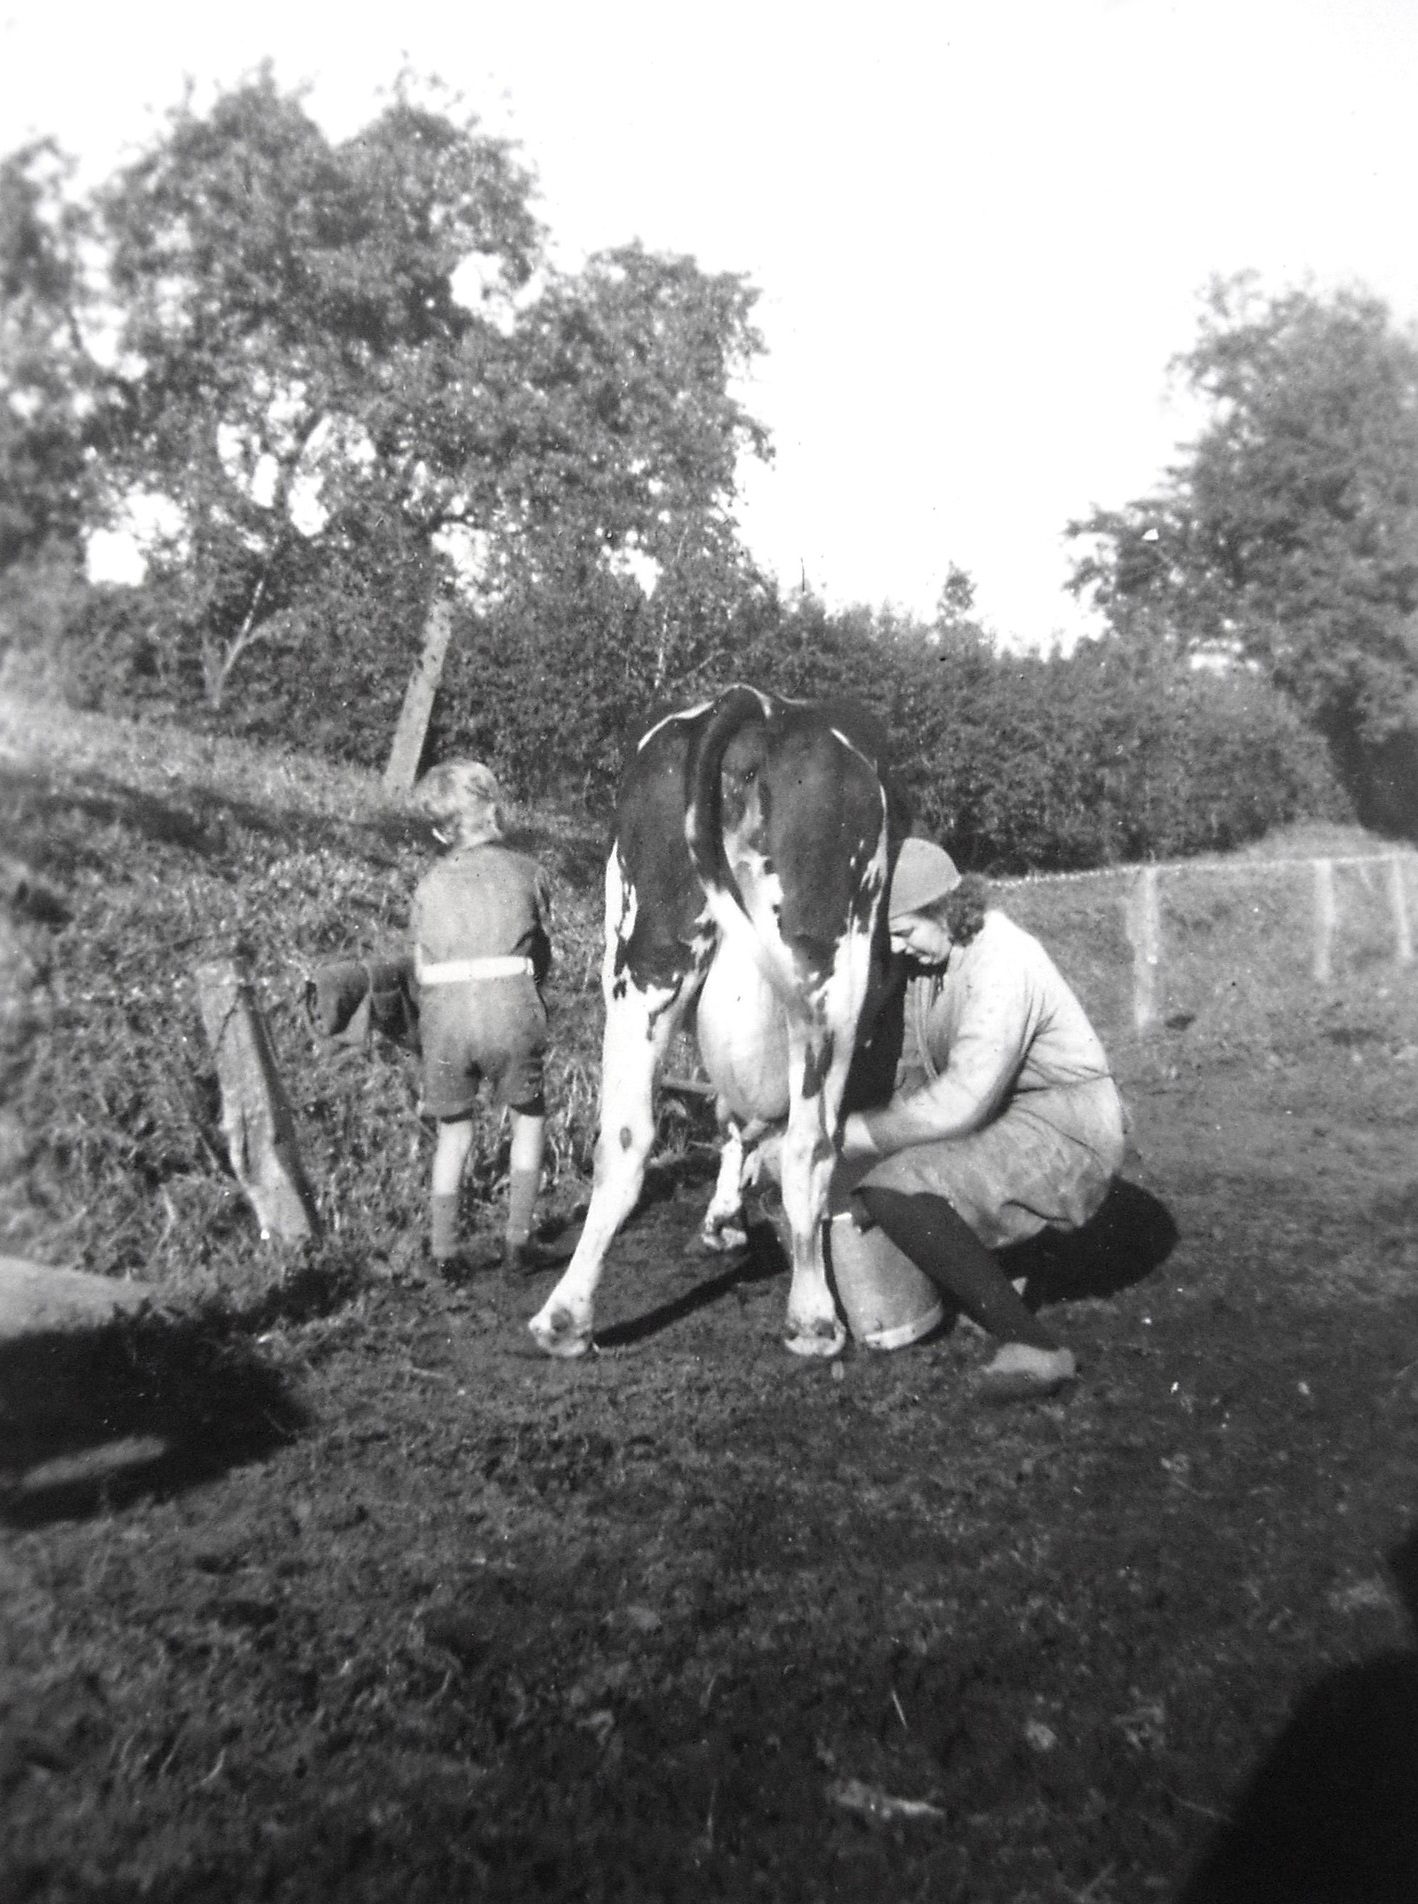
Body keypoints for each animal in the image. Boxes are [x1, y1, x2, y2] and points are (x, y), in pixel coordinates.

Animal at [521, 693, 905, 1363]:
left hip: (642, 955)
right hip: (830, 972)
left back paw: (565, 1318)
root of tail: (755, 705)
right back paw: (813, 1319)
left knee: (624, 1137)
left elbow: (727, 1116)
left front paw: (723, 1214)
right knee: (810, 1145)